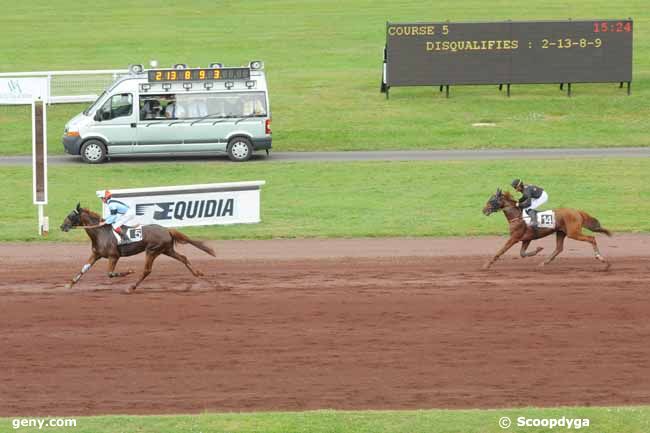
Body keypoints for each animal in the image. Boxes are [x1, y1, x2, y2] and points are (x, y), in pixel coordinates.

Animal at [59, 203, 215, 294]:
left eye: (70, 216)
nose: (62, 226)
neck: (101, 232)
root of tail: (167, 230)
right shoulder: (96, 255)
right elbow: (83, 269)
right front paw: (69, 285)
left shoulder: (114, 256)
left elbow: (110, 273)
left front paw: (129, 271)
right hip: (167, 250)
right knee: (183, 258)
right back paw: (198, 274)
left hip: (152, 251)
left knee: (147, 270)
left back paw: (131, 287)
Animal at [478, 189, 612, 270]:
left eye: (492, 200)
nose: (484, 210)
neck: (517, 216)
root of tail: (577, 212)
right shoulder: (526, 239)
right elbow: (522, 253)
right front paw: (538, 249)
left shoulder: (514, 238)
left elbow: (500, 251)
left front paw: (486, 265)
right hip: (561, 232)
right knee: (559, 248)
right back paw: (544, 262)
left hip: (573, 232)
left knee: (591, 238)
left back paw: (602, 260)